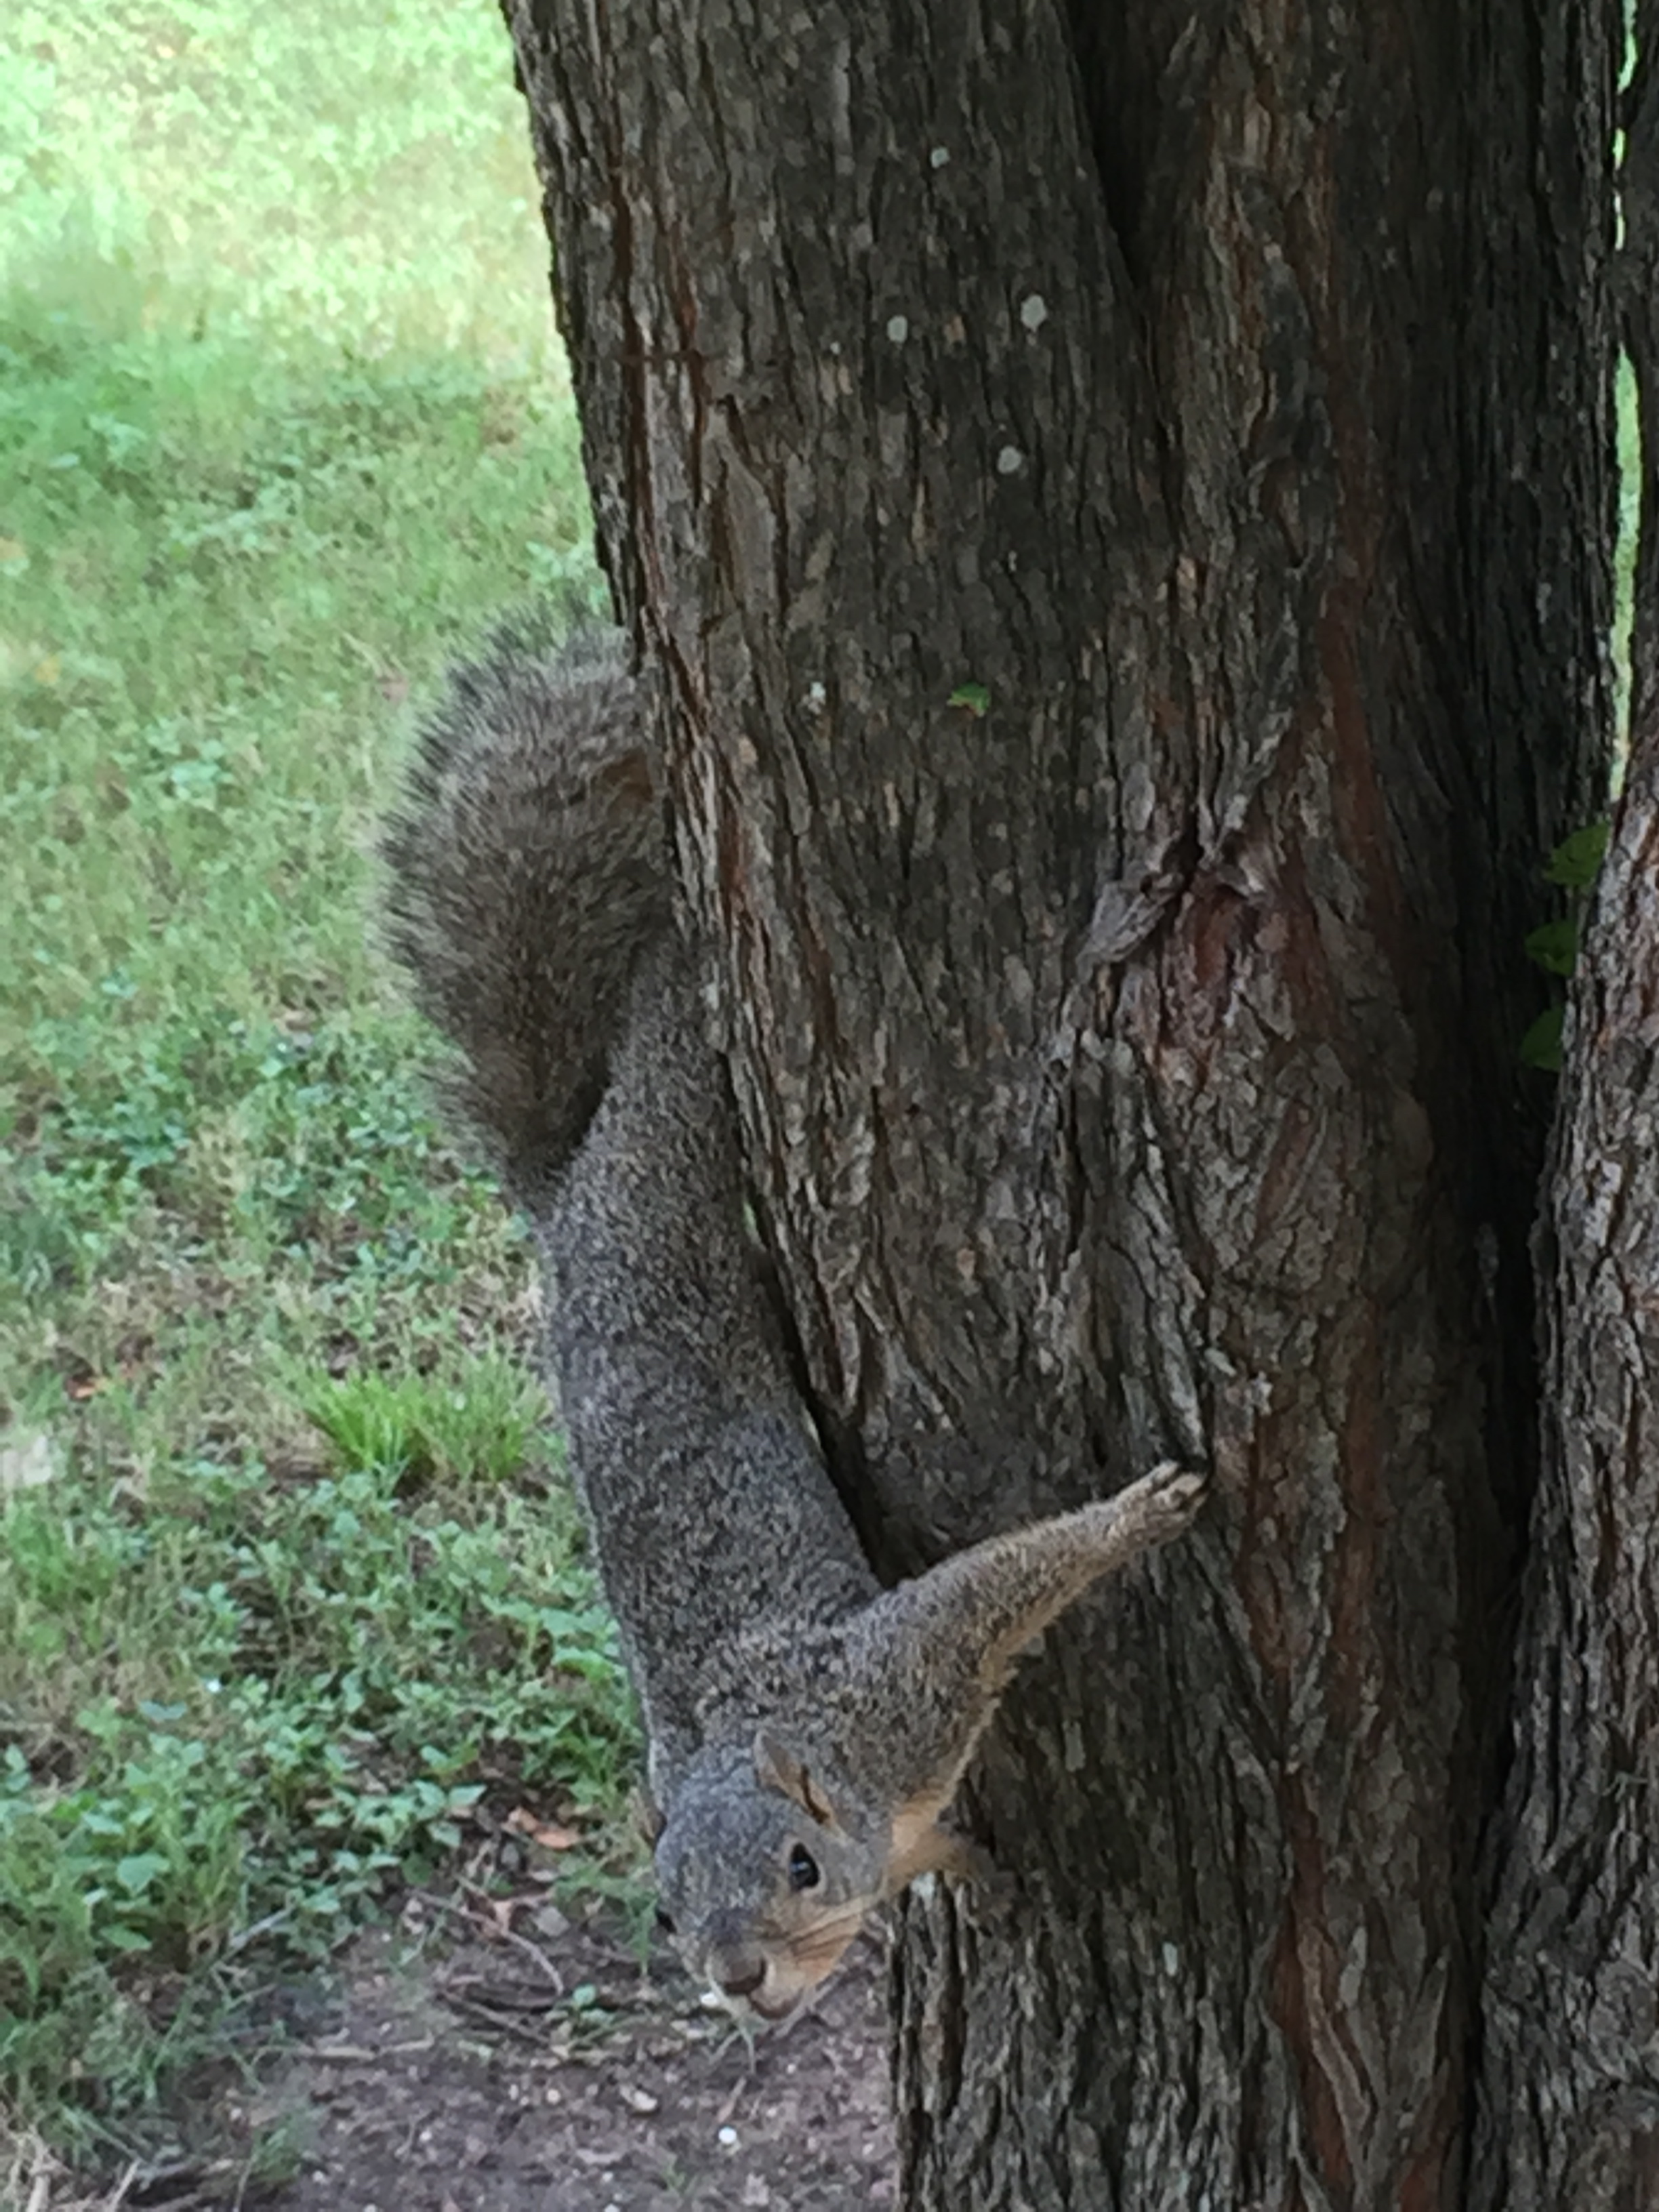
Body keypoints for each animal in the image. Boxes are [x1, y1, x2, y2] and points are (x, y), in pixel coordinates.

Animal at [380, 625, 1207, 2022]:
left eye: (800, 1865)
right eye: (661, 1913)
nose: (741, 1980)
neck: (843, 1770)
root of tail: (565, 1199)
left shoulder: (897, 1682)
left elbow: (994, 1582)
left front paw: (1131, 1515)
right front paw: (973, 1878)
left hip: (672, 1175)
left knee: (666, 1040)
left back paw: (676, 966)